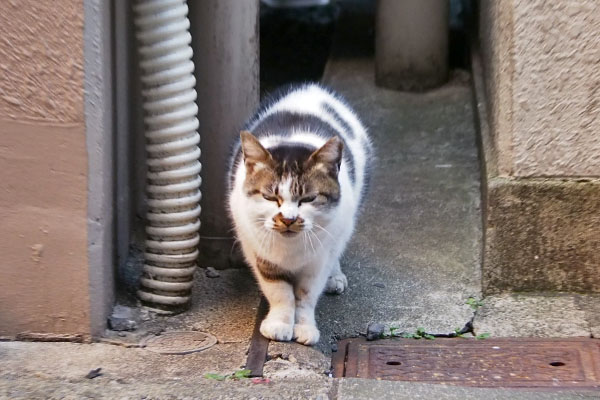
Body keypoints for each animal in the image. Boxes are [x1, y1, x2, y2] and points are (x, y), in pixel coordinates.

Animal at [229, 83, 370, 346]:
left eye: (308, 199)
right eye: (270, 197)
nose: (288, 219)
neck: (290, 250)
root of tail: (312, 87)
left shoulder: (318, 259)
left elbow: (306, 294)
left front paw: (304, 328)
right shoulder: (260, 251)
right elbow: (280, 292)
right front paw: (279, 325)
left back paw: (335, 277)